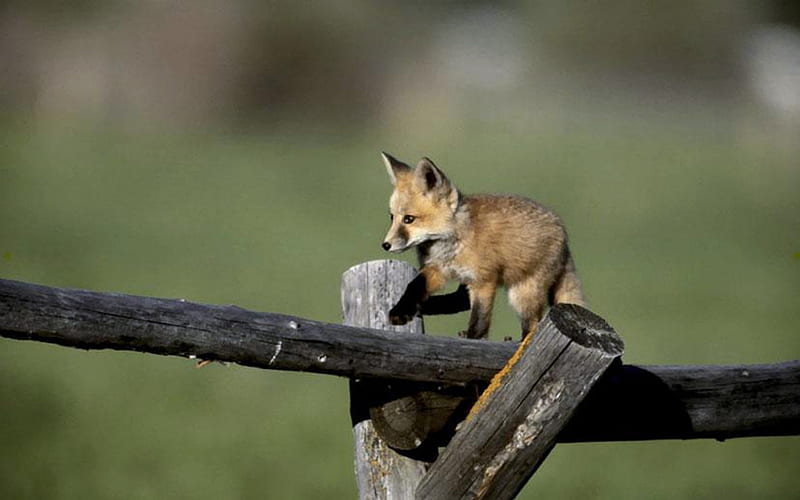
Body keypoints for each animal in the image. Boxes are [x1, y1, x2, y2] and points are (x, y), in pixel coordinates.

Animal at [378, 152, 584, 340]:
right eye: (392, 217)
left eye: (409, 219)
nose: (385, 245)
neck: (452, 245)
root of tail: (562, 232)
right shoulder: (437, 270)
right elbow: (414, 286)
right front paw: (401, 310)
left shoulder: (484, 280)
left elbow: (479, 319)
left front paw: (473, 338)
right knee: (459, 300)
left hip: (522, 293)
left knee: (532, 326)